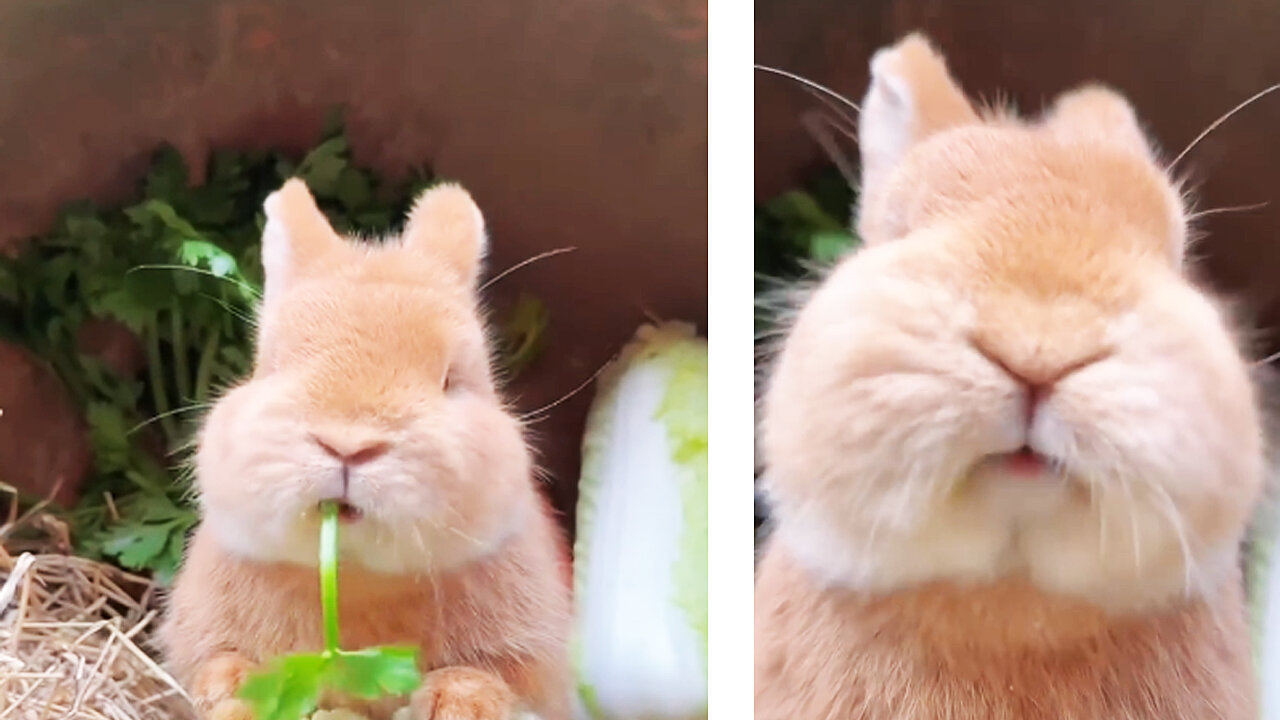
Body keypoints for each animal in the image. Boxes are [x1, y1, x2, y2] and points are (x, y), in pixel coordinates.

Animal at [157, 175, 573, 717]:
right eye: (274, 364)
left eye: (451, 379)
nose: (347, 445)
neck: (354, 580)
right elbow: (220, 668)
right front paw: (236, 700)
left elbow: (484, 681)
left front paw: (447, 704)